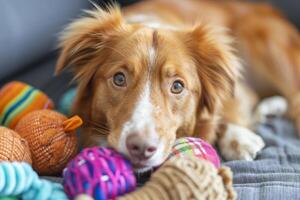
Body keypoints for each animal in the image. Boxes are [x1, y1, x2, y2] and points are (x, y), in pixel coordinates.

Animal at [55, 0, 300, 172]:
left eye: (177, 86)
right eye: (119, 79)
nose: (141, 147)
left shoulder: (238, 87)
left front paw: (238, 137)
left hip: (263, 40)